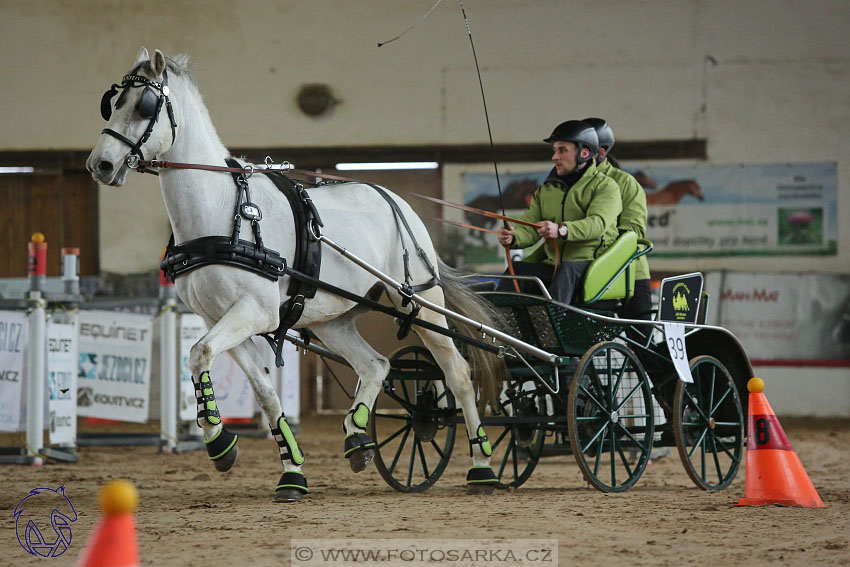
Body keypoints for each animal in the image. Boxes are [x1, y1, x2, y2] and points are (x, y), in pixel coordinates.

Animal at [87, 47, 504, 502]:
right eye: (113, 102)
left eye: (144, 105)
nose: (100, 164)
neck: (222, 212)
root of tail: (396, 200)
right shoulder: (218, 317)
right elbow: (263, 390)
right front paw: (285, 470)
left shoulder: (256, 311)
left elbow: (199, 353)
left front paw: (218, 440)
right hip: (332, 319)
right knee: (375, 366)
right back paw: (358, 437)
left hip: (423, 303)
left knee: (458, 375)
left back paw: (482, 467)